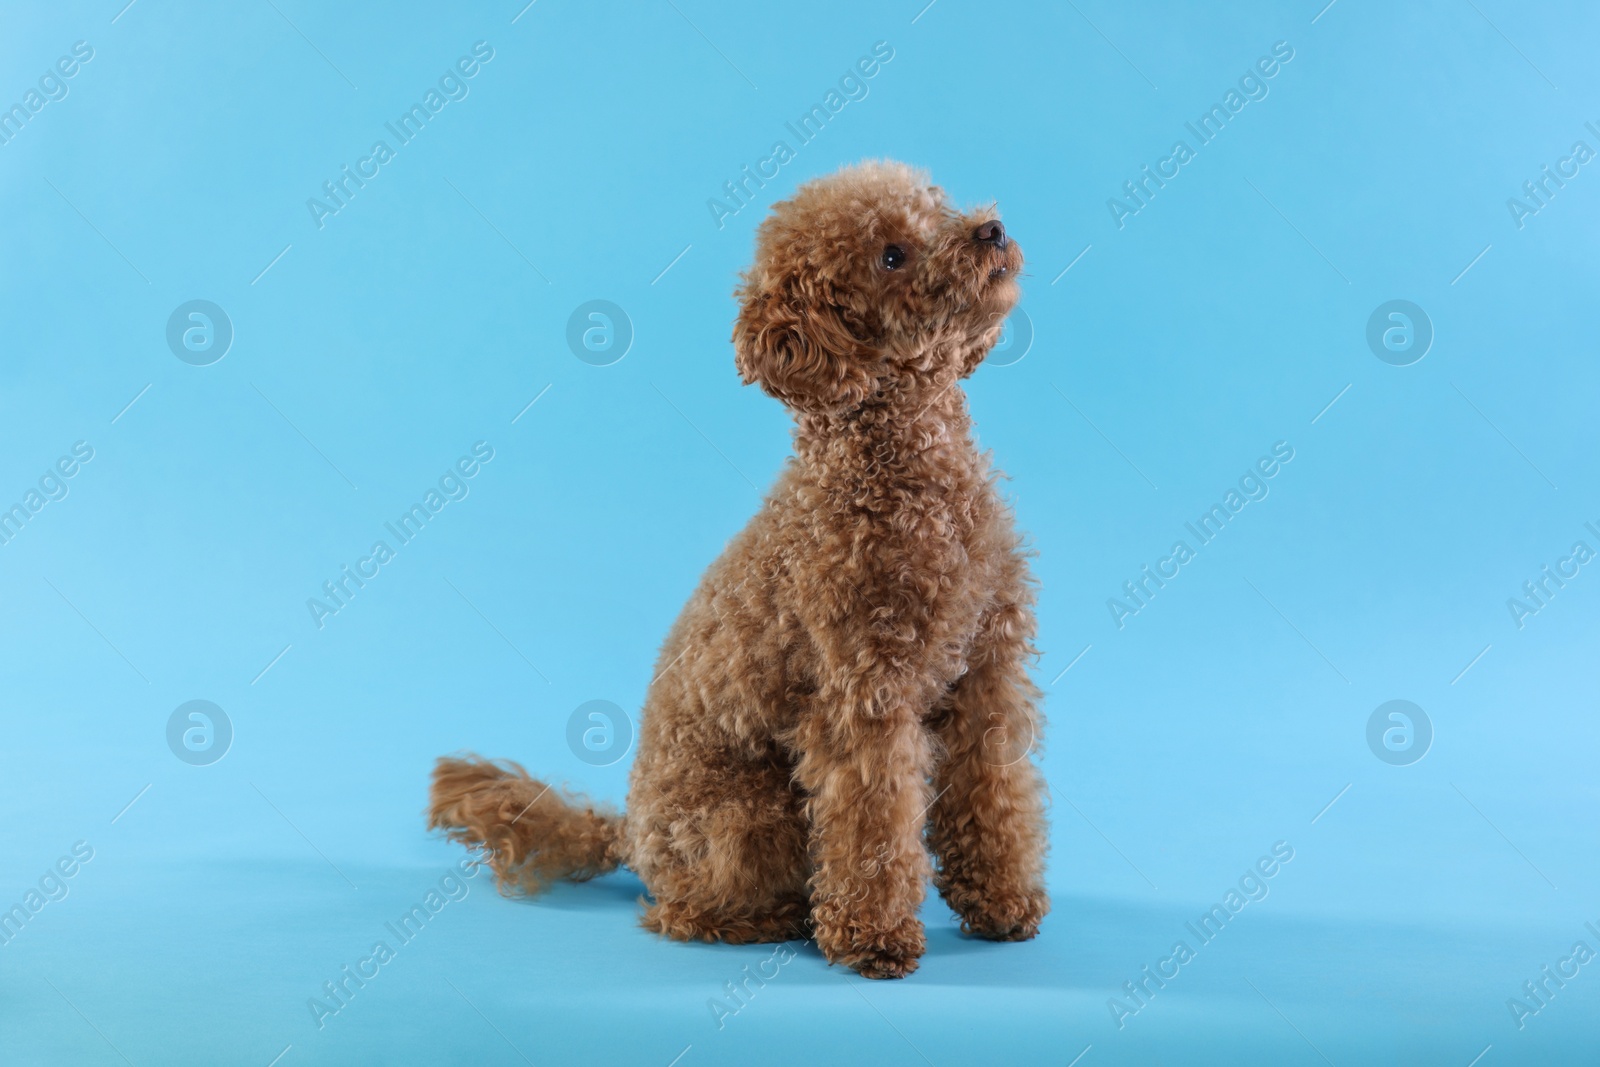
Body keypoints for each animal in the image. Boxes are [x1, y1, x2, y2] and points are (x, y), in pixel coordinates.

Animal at [425, 158, 1049, 979]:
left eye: (935, 205)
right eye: (891, 256)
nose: (992, 230)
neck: (909, 468)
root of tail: (628, 832)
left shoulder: (988, 672)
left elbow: (994, 794)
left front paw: (1001, 902)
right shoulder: (863, 695)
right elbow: (872, 823)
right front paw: (872, 935)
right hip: (748, 815)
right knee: (679, 911)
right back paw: (776, 918)